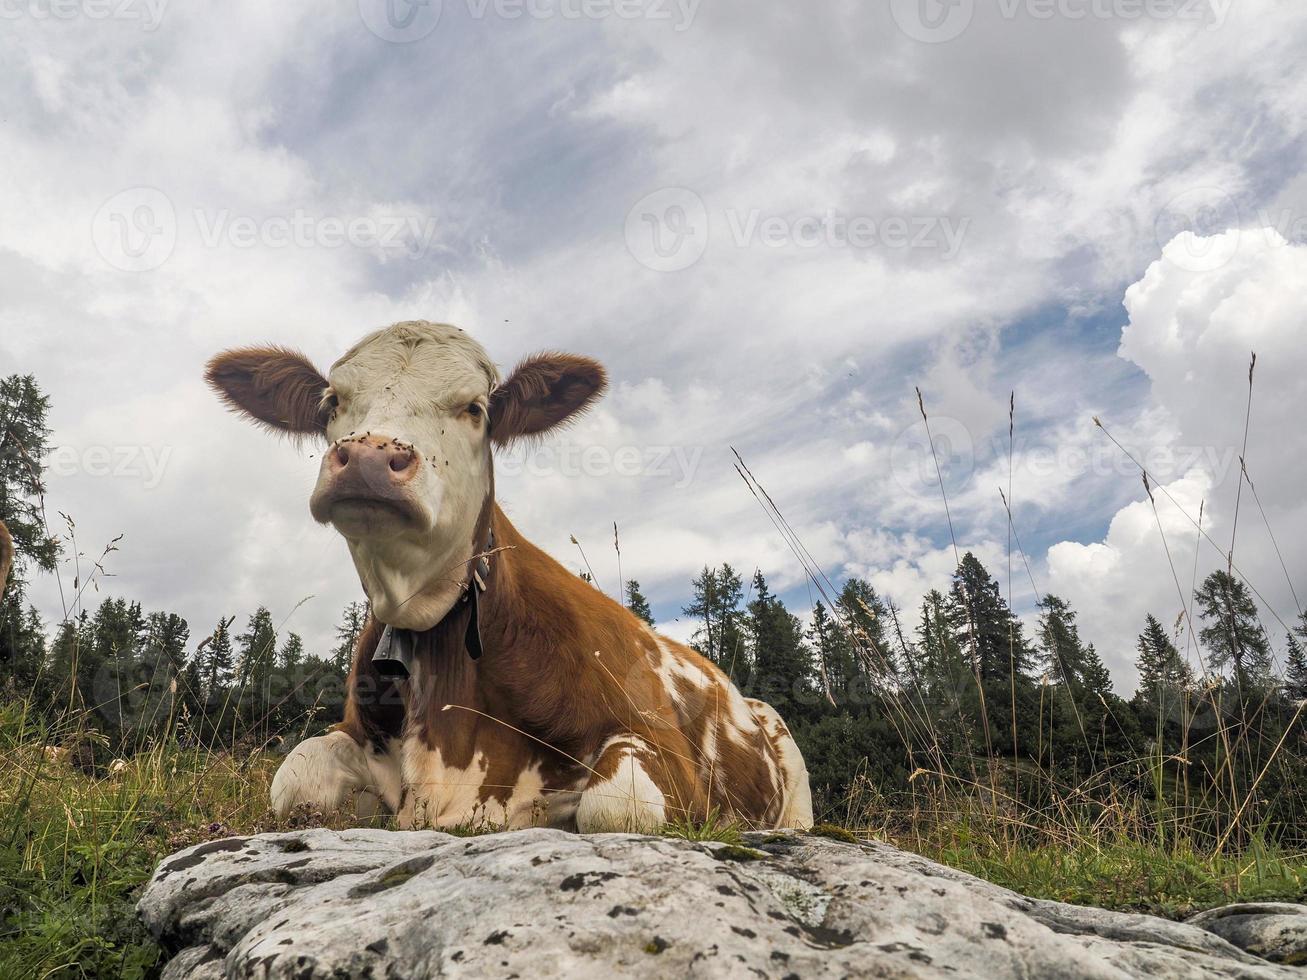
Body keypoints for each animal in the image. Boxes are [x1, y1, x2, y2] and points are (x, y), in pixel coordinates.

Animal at [203, 324, 810, 836]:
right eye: (332, 402)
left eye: (475, 408)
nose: (371, 458)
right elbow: (295, 778)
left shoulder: (658, 745)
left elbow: (617, 806)